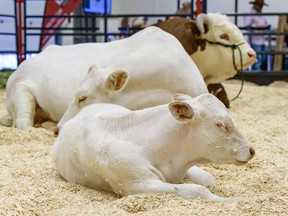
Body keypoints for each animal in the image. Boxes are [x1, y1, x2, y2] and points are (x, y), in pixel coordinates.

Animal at [51, 93, 254, 202]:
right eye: (222, 125)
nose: (251, 150)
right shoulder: (137, 184)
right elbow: (198, 190)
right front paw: (236, 200)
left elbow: (208, 180)